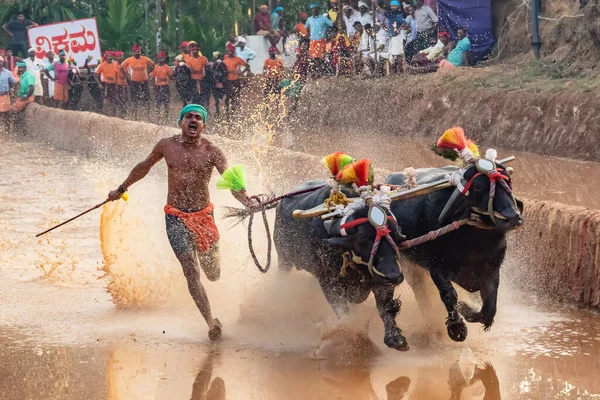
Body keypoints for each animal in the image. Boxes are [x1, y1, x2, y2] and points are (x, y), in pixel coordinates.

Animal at [386, 158, 524, 342]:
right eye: (478, 187)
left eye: (508, 182)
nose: (513, 217)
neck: (474, 242)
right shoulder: (436, 267)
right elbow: (449, 295)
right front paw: (457, 328)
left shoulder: (492, 270)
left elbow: (490, 306)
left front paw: (467, 309)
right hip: (410, 267)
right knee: (421, 295)